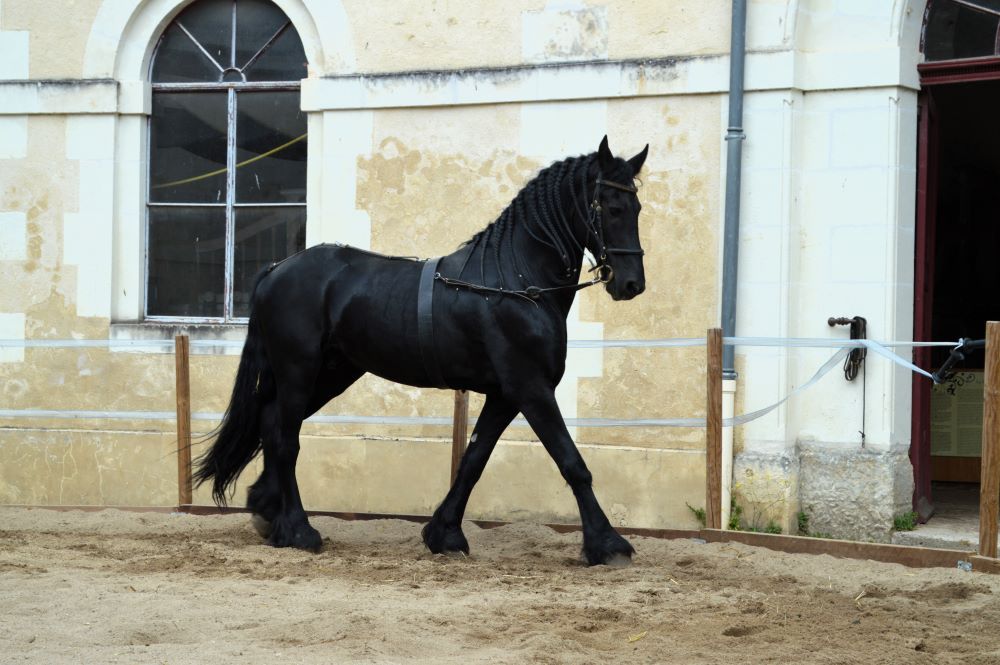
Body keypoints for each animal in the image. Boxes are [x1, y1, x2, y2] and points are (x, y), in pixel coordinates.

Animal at [193, 136, 649, 566]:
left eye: (637, 207)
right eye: (612, 208)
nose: (631, 284)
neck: (516, 280)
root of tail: (277, 270)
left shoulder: (504, 395)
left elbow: (473, 460)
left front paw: (444, 534)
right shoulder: (530, 388)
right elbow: (572, 463)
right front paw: (608, 544)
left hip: (331, 373)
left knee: (271, 424)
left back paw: (268, 514)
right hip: (299, 371)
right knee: (286, 439)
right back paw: (300, 530)